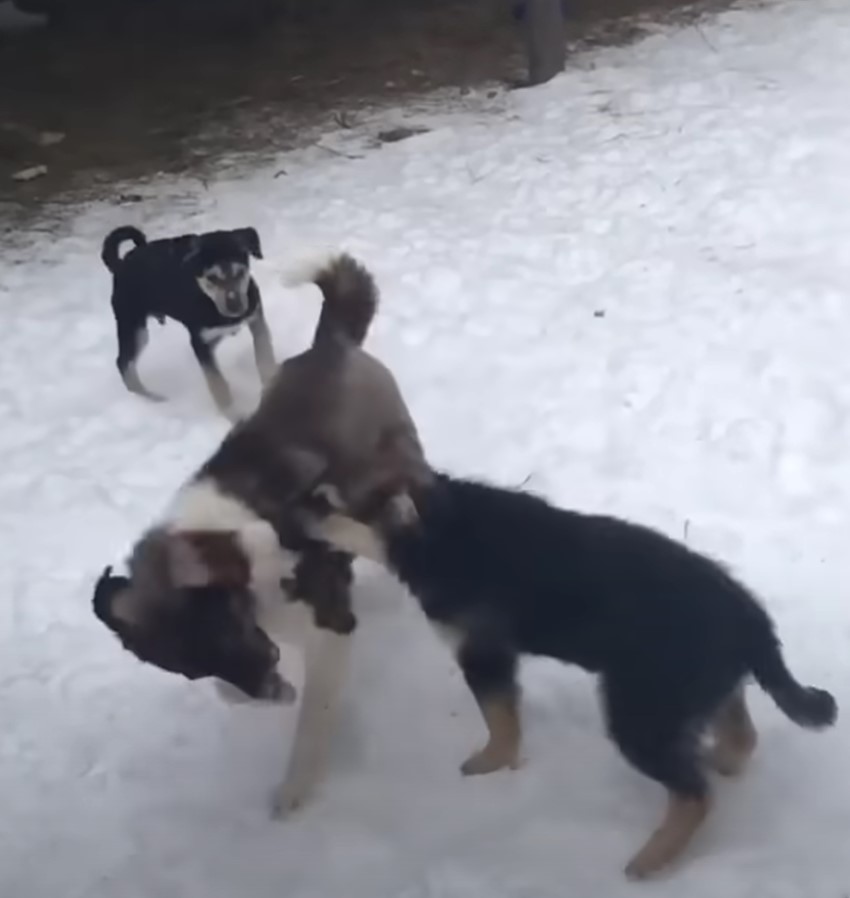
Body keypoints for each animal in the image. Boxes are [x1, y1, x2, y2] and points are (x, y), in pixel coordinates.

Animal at [93, 250, 430, 812]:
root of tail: (328, 346)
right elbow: (231, 692)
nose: (272, 689)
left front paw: (294, 790)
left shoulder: (329, 630)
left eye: (221, 636)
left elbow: (311, 723)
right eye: (188, 666)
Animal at [101, 224, 274, 420]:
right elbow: (217, 382)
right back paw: (152, 399)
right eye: (211, 278)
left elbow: (264, 356)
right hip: (134, 327)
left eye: (240, 272)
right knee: (123, 363)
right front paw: (233, 414)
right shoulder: (199, 343)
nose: (236, 307)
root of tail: (120, 265)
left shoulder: (257, 321)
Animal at [298, 472, 836, 880]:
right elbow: (505, 714)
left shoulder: (484, 653)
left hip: (641, 708)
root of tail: (750, 618)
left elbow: (499, 717)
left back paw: (651, 859)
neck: (442, 529)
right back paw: (722, 761)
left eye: (332, 505)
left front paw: (491, 763)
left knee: (694, 793)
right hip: (694, 686)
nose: (296, 507)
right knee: (738, 732)